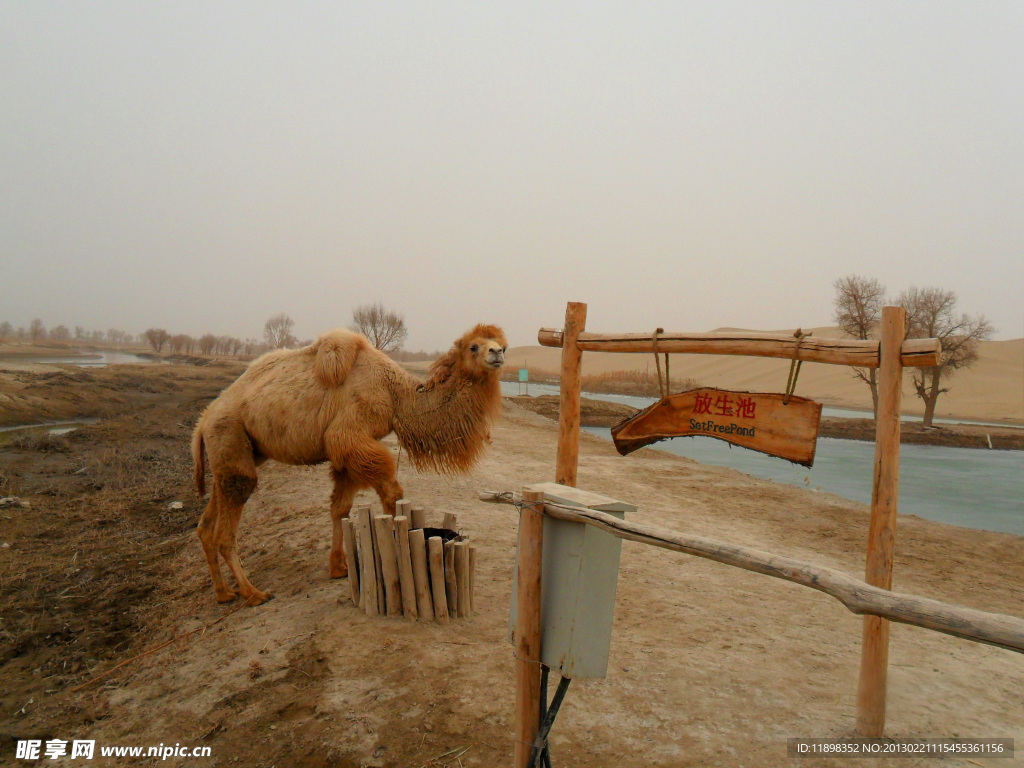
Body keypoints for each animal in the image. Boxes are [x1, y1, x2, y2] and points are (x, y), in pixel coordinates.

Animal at [190, 321, 505, 606]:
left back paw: (223, 593)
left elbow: (340, 508)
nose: (498, 353)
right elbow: (392, 492)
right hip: (228, 435)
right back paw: (253, 593)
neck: (395, 394)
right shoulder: (350, 435)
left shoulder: (349, 450)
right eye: (474, 346)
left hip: (234, 453)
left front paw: (338, 567)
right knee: (226, 529)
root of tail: (202, 421)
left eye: (503, 343)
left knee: (207, 523)